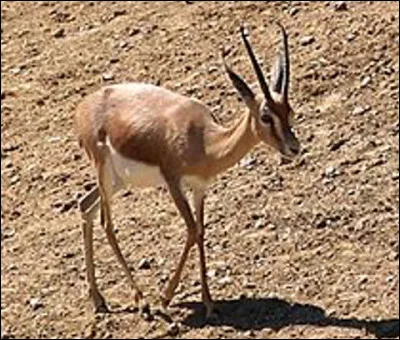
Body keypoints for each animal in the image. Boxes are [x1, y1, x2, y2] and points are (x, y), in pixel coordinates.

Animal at [74, 24, 300, 318]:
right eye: (265, 116)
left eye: (289, 112)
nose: (294, 147)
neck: (204, 141)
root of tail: (83, 107)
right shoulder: (173, 182)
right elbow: (191, 230)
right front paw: (165, 297)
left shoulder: (200, 187)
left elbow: (201, 231)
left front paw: (209, 303)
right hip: (104, 171)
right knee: (106, 224)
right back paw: (142, 301)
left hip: (117, 181)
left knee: (84, 205)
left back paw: (99, 299)